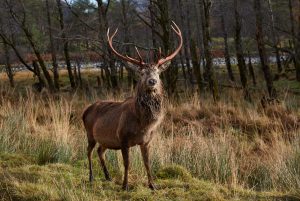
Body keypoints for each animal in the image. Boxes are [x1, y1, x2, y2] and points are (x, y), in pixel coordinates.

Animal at [82, 21, 183, 191]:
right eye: (142, 73)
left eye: (157, 72)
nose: (152, 81)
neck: (143, 124)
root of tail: (85, 110)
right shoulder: (122, 137)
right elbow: (127, 163)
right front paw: (125, 186)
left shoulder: (147, 141)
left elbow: (147, 163)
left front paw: (153, 185)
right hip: (90, 133)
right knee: (89, 151)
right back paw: (90, 177)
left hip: (106, 139)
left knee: (100, 151)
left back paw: (108, 176)